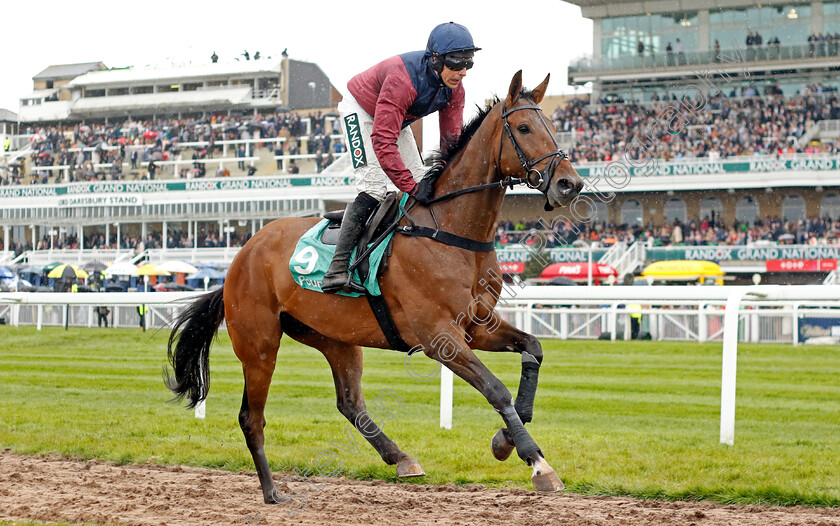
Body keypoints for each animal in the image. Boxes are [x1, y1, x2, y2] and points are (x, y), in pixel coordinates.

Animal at [165, 71, 584, 504]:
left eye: (554, 127)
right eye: (524, 128)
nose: (570, 183)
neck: (450, 231)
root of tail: (240, 258)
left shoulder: (476, 327)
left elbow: (533, 349)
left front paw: (505, 439)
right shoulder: (439, 338)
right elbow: (496, 389)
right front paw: (536, 461)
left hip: (335, 338)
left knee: (349, 403)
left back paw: (401, 458)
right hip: (259, 344)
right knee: (252, 417)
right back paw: (272, 491)